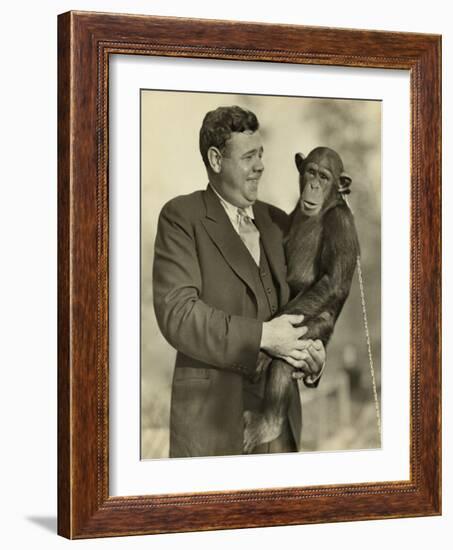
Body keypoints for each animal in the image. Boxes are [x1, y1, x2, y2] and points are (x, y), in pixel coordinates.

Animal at [244, 146, 360, 452]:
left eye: (325, 176)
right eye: (311, 172)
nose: (314, 186)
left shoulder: (342, 223)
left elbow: (332, 282)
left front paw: (260, 354)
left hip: (315, 328)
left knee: (287, 355)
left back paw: (269, 424)